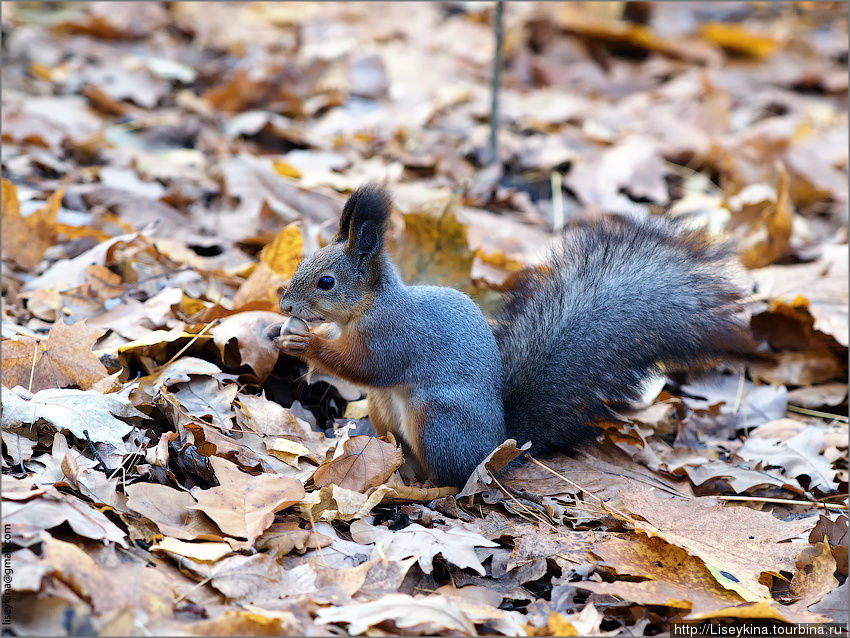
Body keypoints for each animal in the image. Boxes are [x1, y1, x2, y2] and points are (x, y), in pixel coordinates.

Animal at [266, 185, 748, 490]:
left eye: (326, 282)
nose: (286, 305)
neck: (370, 307)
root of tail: (497, 448)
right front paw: (277, 332)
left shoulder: (394, 336)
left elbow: (363, 366)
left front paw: (307, 345)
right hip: (386, 409)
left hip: (437, 420)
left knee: (451, 477)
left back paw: (423, 486)